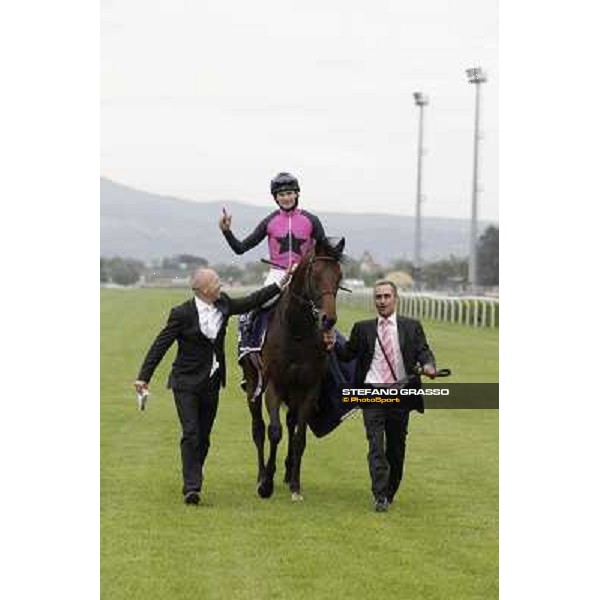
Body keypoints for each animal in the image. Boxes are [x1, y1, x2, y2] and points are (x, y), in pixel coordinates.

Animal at [240, 237, 344, 500]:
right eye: (315, 275)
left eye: (339, 276)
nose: (328, 319)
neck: (296, 331)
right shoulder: (273, 386)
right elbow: (274, 431)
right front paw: (266, 483)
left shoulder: (309, 388)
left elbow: (299, 437)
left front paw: (296, 484)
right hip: (253, 385)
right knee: (258, 428)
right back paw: (262, 474)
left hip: (294, 392)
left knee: (291, 423)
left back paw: (287, 473)